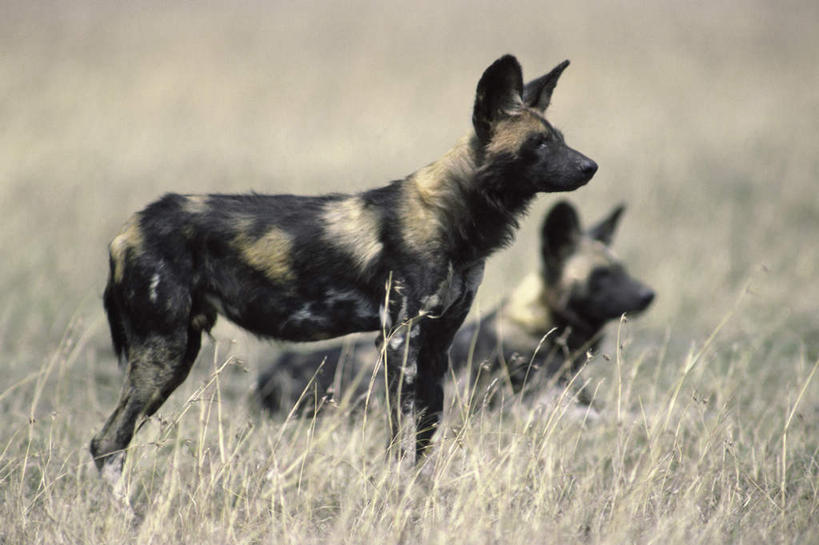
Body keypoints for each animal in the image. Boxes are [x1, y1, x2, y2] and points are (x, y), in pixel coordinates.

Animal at [93, 55, 600, 480]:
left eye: (561, 139)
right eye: (538, 143)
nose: (590, 166)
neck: (456, 216)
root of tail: (127, 229)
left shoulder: (436, 345)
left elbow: (424, 439)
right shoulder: (399, 341)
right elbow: (401, 443)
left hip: (178, 353)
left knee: (109, 442)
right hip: (165, 354)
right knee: (107, 444)